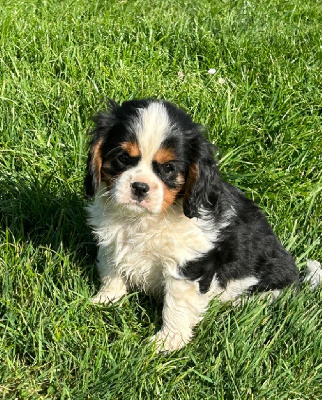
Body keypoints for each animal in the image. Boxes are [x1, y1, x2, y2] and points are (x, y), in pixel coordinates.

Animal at [85, 98, 322, 352]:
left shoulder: (187, 266)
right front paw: (105, 300)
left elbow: (175, 307)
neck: (143, 220)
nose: (140, 187)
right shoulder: (112, 243)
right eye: (123, 158)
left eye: (168, 168)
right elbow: (111, 273)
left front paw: (167, 343)